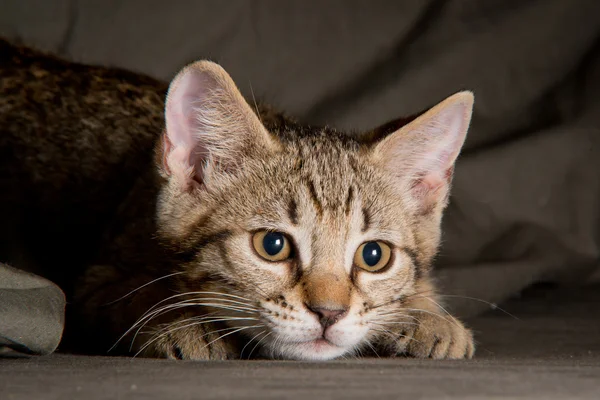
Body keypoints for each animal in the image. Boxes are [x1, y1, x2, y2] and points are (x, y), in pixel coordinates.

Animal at [1, 39, 478, 360]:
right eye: (272, 245)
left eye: (374, 255)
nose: (329, 313)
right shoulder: (93, 283)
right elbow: (136, 295)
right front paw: (182, 323)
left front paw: (427, 316)